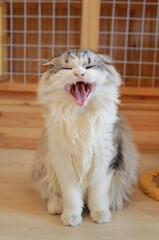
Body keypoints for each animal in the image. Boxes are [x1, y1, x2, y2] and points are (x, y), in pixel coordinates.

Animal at [31, 49, 139, 226]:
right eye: (67, 68)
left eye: (89, 66)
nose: (79, 73)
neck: (80, 116)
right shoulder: (64, 164)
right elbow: (72, 198)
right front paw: (71, 217)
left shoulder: (104, 161)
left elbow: (98, 196)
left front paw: (101, 215)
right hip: (45, 167)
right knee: (52, 195)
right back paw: (56, 207)